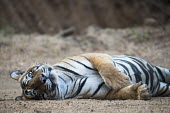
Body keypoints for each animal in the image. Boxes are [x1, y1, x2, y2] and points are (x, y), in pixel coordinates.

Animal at [10, 53, 170, 100]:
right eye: (35, 92)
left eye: (31, 74)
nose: (43, 79)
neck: (64, 81)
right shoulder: (104, 92)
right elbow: (122, 93)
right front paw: (139, 92)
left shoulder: (91, 55)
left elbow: (105, 67)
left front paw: (121, 80)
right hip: (163, 88)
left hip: (163, 71)